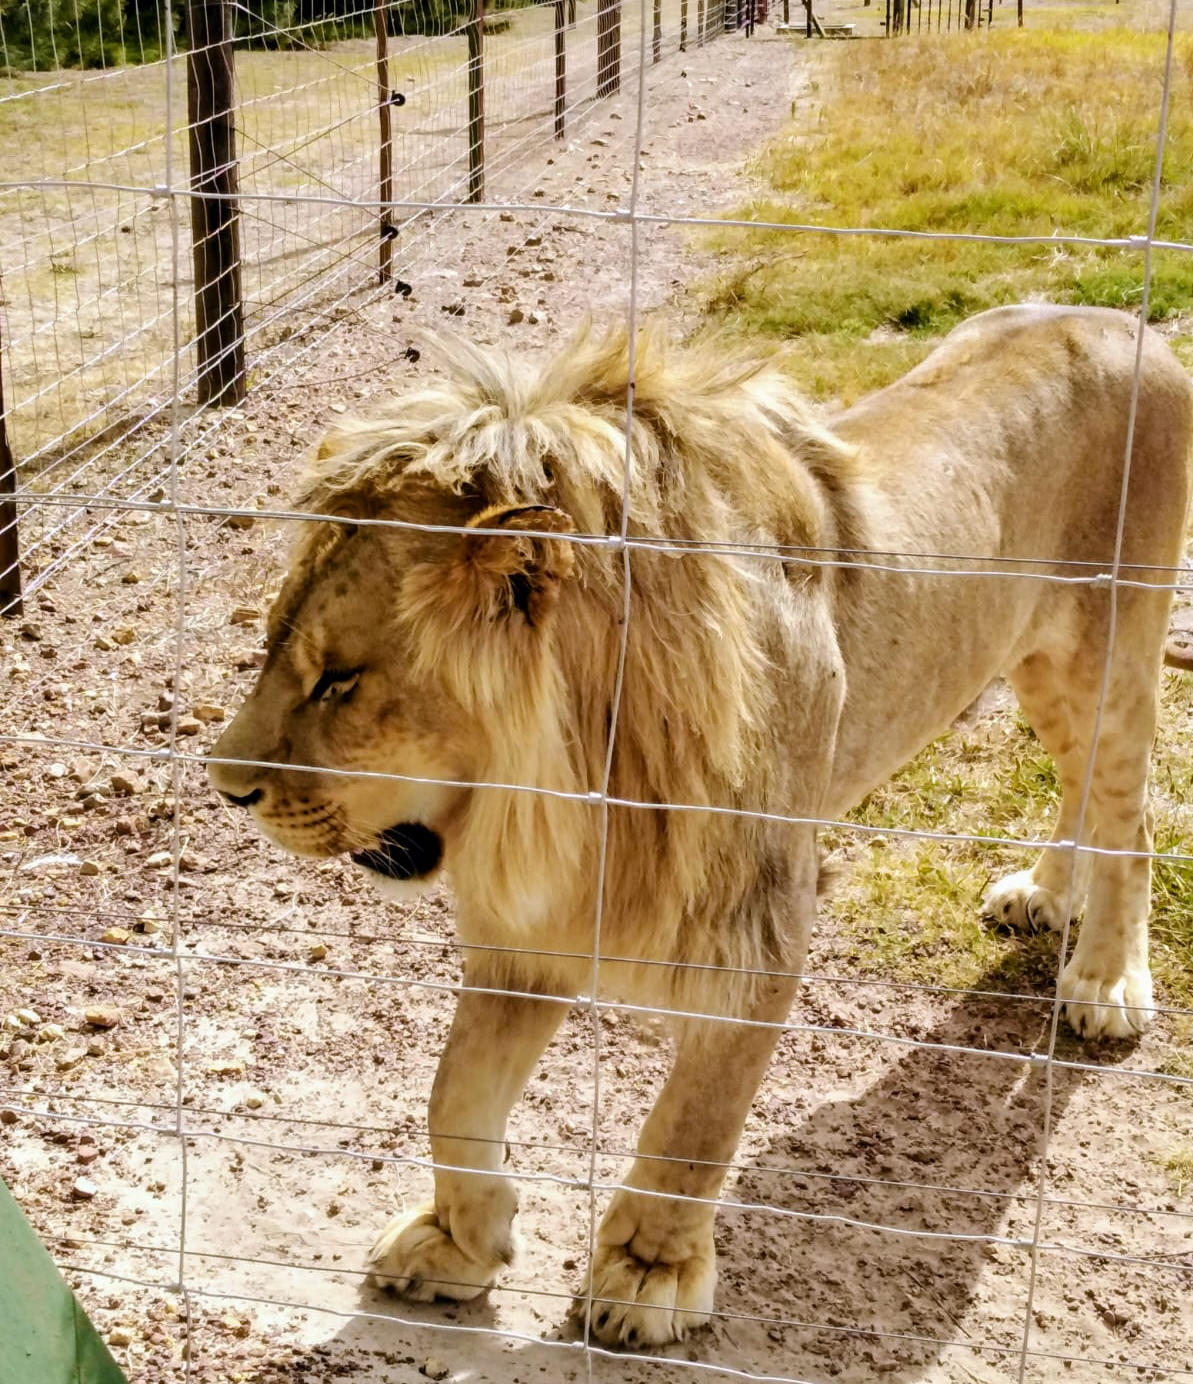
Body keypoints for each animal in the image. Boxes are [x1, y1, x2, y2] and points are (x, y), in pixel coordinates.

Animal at [209, 304, 1192, 1349]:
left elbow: (690, 1128)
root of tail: (1122, 320)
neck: (566, 798)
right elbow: (454, 1093)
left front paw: (648, 1276)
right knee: (1081, 788)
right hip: (1033, 660)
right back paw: (1042, 896)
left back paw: (1104, 981)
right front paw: (461, 1244)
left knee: (1130, 816)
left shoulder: (755, 936)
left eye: (339, 679)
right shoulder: (530, 932)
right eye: (275, 648)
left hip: (1109, 652)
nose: (224, 787)